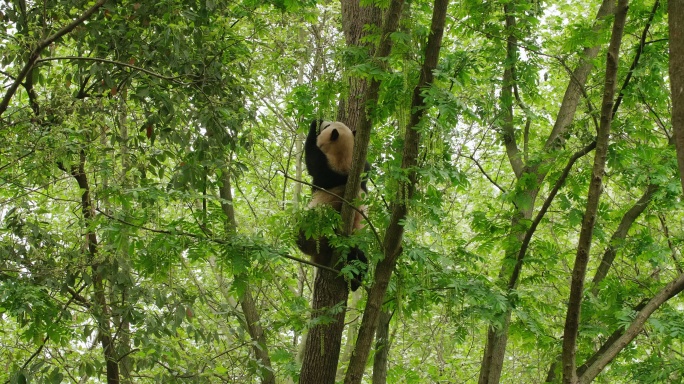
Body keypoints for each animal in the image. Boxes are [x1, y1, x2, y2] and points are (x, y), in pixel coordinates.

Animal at [296, 120, 372, 292]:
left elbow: (313, 161)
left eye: (327, 126)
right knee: (361, 257)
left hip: (313, 230)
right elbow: (367, 169)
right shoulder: (361, 174)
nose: (324, 122)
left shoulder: (328, 174)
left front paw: (314, 124)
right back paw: (356, 282)